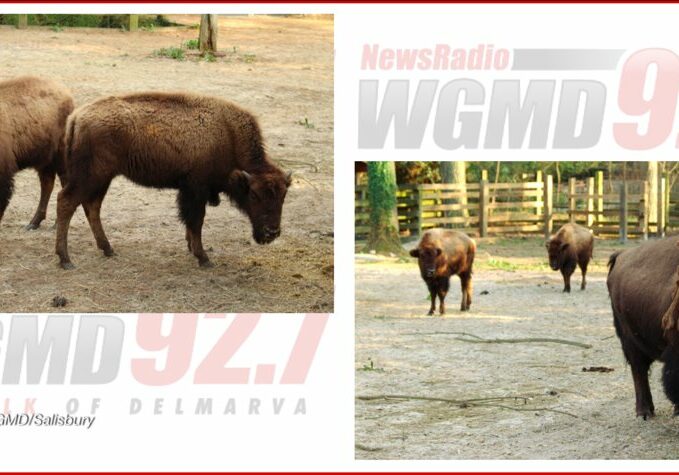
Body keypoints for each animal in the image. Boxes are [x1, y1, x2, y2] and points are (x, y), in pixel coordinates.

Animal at [0, 75, 74, 230]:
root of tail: (66, 94)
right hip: (45, 160)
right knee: (47, 184)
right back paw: (33, 223)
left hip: (60, 158)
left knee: (62, 184)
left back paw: (56, 224)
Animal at [57, 91, 290, 270]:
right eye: (254, 195)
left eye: (283, 197)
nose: (272, 233)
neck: (229, 135)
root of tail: (76, 117)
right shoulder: (196, 189)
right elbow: (196, 221)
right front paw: (203, 258)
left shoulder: (190, 191)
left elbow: (190, 222)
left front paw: (191, 248)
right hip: (91, 177)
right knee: (66, 202)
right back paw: (66, 259)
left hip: (102, 179)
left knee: (92, 207)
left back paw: (107, 249)